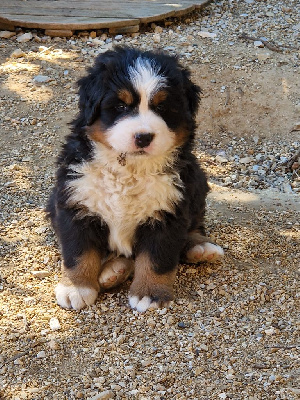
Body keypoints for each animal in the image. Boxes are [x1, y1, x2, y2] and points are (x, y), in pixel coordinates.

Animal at [47, 45, 224, 310]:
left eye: (162, 107)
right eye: (121, 106)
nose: (143, 137)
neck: (129, 169)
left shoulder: (168, 209)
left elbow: (156, 258)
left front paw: (149, 293)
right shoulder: (76, 203)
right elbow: (78, 252)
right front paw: (76, 287)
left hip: (197, 185)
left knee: (194, 226)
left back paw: (199, 247)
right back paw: (114, 271)